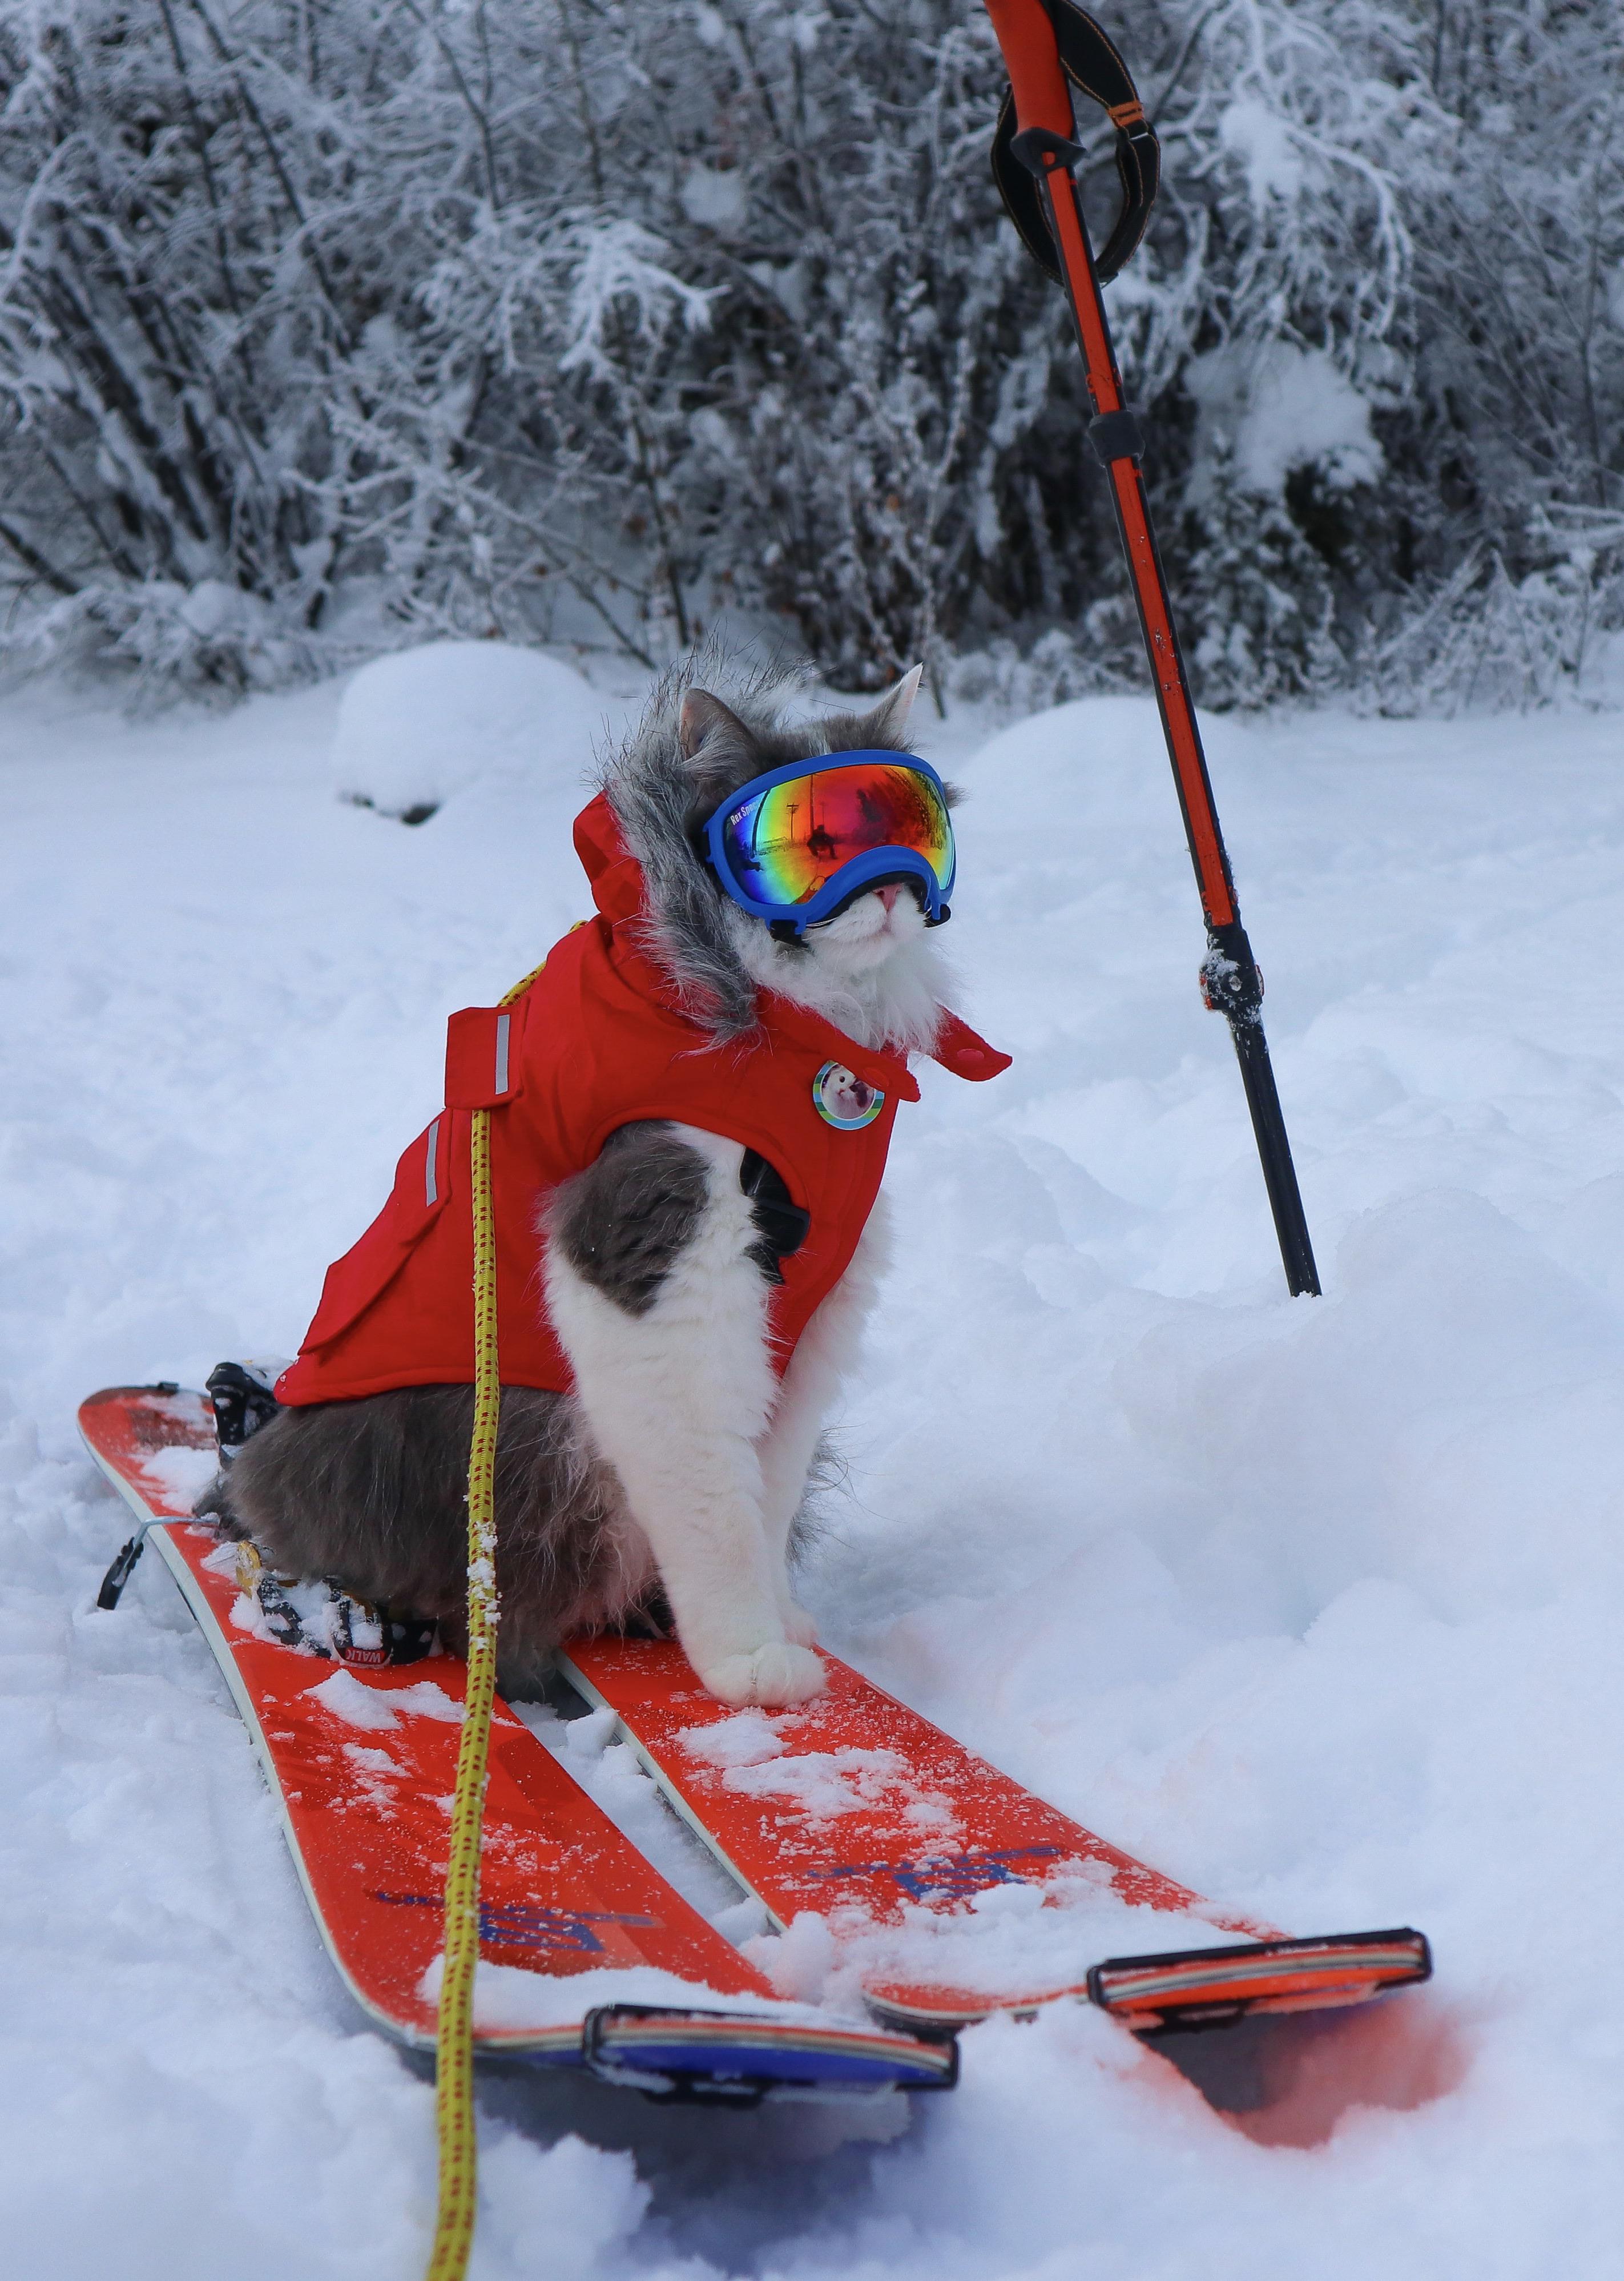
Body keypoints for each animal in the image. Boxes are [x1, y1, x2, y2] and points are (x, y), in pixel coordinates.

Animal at [203, 652, 990, 1706]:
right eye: (812, 838)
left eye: (910, 823)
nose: (897, 888)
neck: (804, 1037)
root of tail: (252, 1464)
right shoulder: (651, 1263)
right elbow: (711, 1500)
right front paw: (745, 1657)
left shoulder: (818, 1311)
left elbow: (770, 1487)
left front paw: (783, 1622)